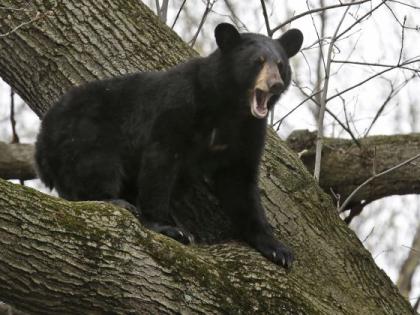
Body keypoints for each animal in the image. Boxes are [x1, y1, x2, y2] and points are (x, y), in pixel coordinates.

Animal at [35, 22, 302, 270]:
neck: (230, 108)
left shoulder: (248, 132)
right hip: (85, 132)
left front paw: (278, 250)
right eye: (257, 62)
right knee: (96, 166)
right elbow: (160, 161)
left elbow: (240, 182)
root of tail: (42, 139)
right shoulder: (179, 107)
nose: (276, 84)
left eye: (280, 65)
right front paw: (167, 227)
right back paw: (116, 201)